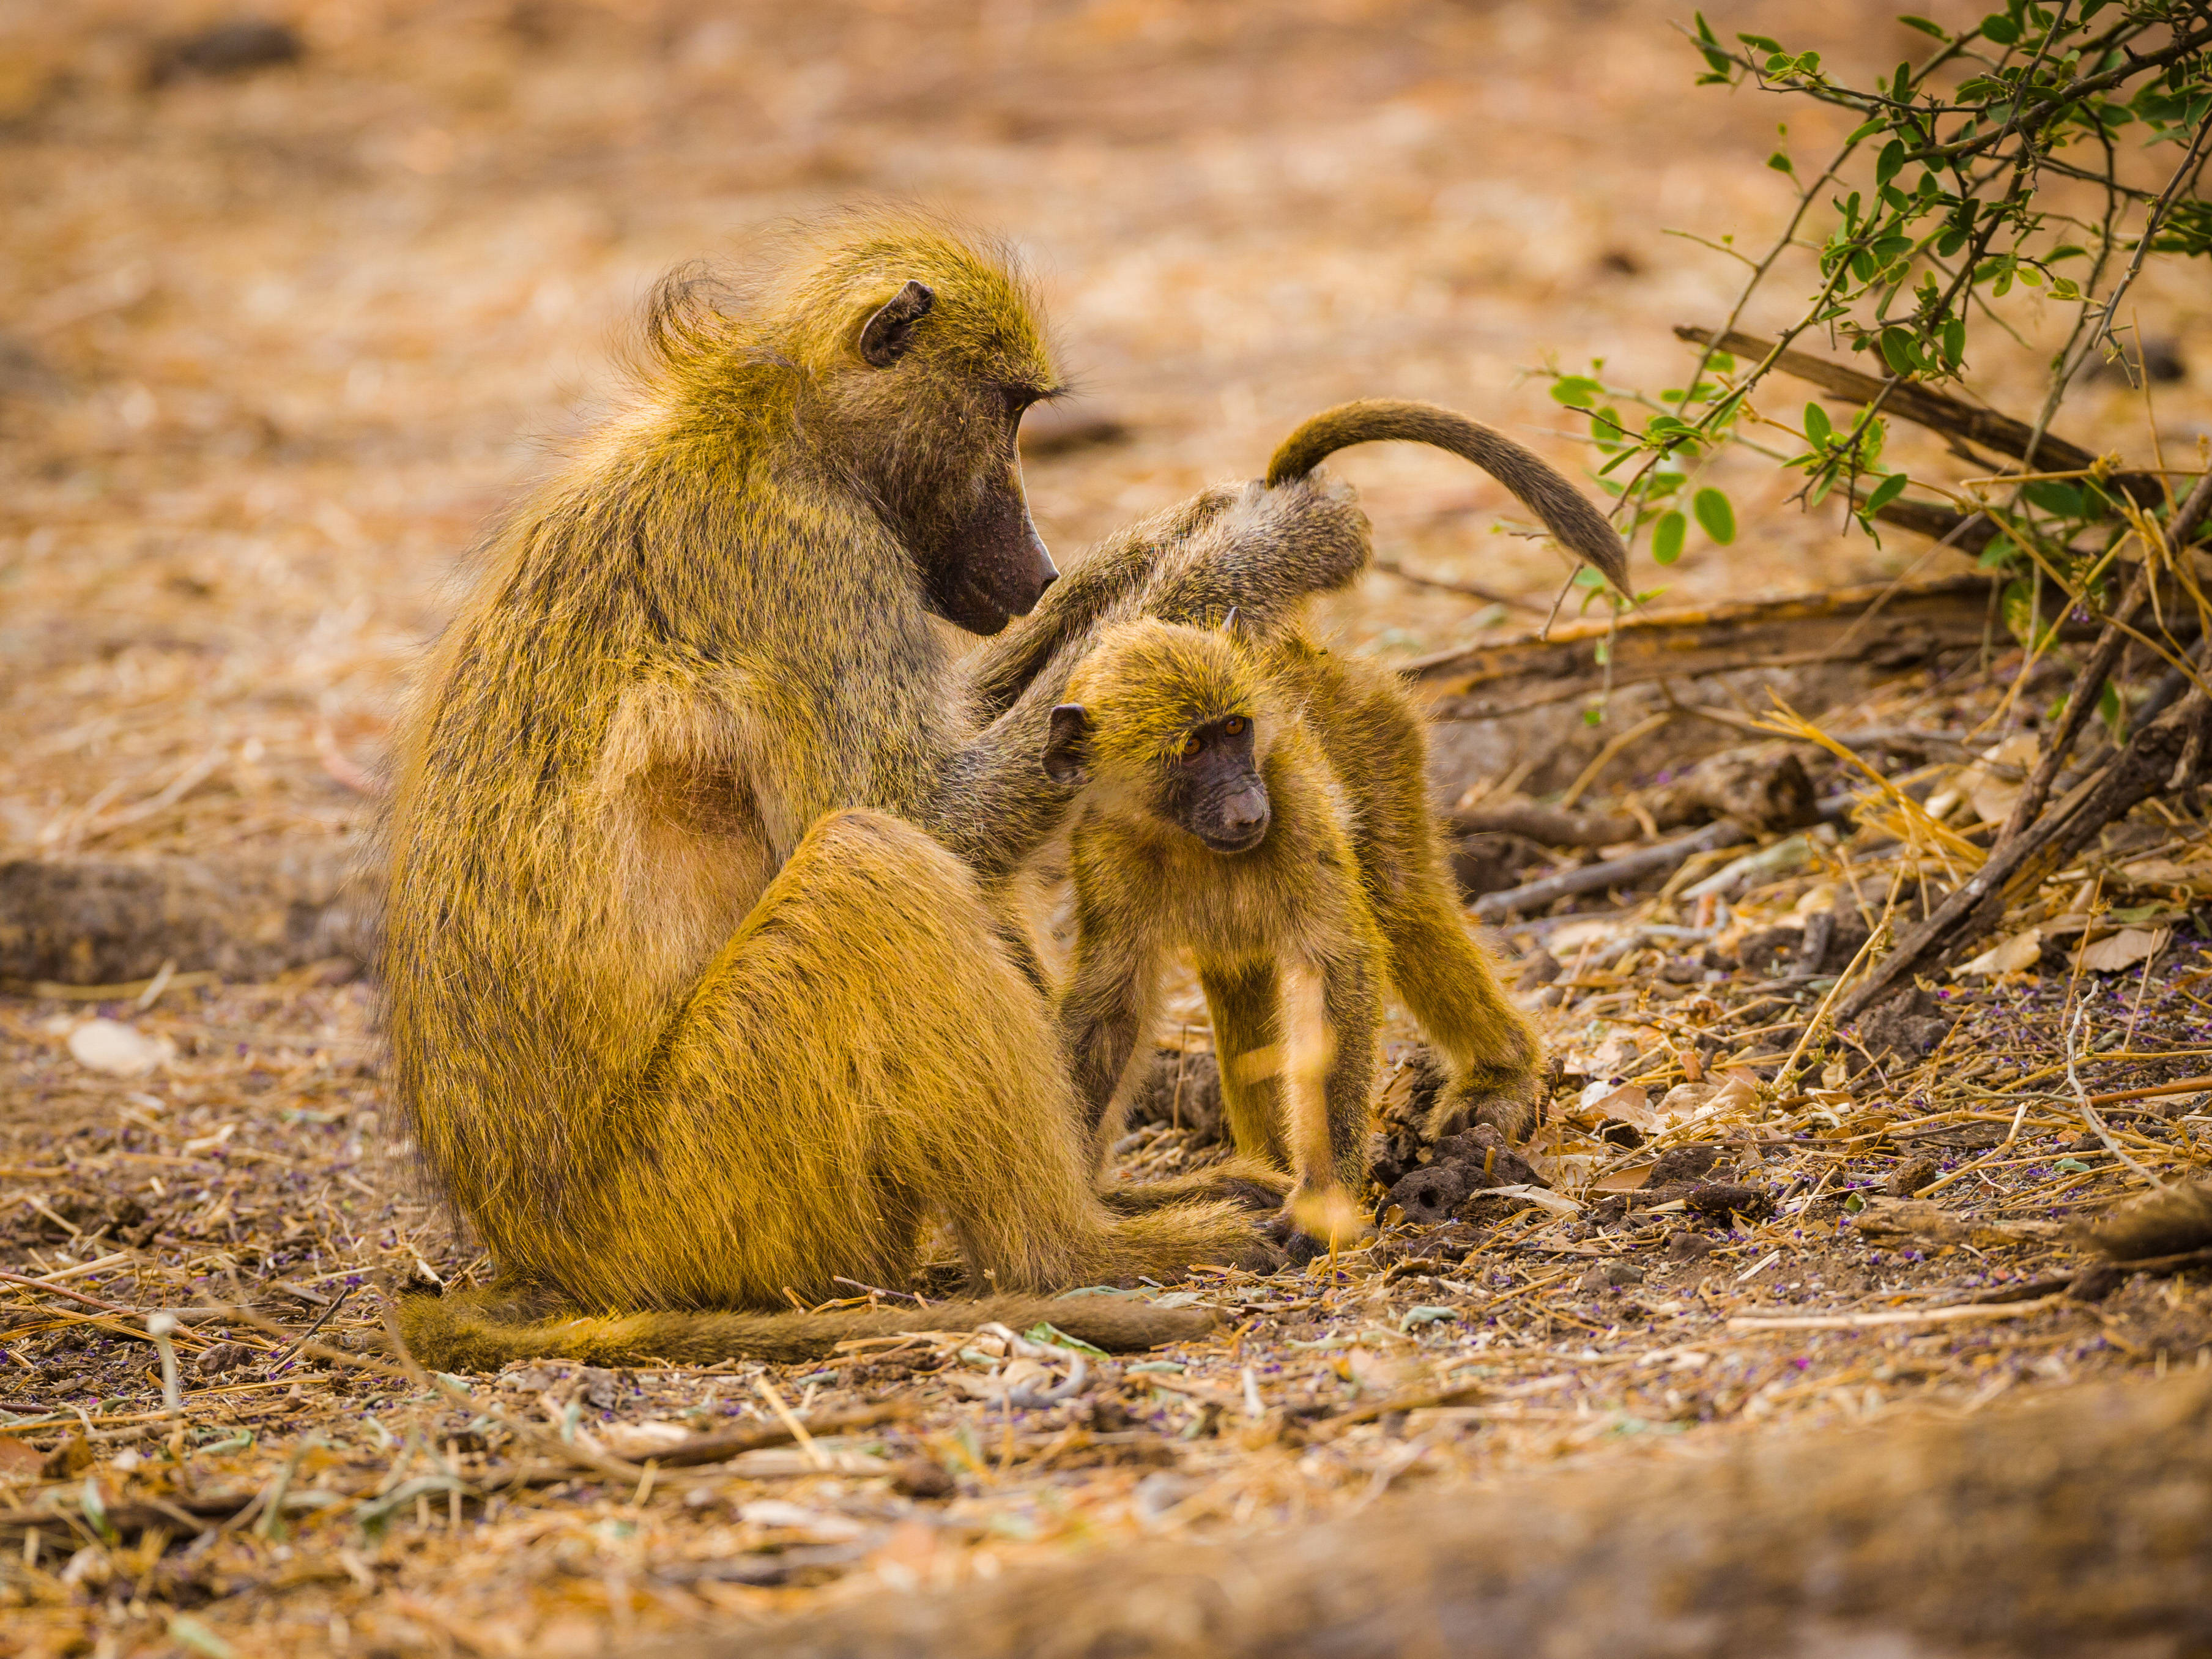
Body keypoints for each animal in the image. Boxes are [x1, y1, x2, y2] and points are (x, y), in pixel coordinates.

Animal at [377, 213, 1383, 1371]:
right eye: (1005, 410)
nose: (1037, 567)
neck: (780, 425)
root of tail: (546, 1257)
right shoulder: (812, 558)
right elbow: (921, 808)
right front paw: (1263, 547)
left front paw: (1161, 544)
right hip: (717, 1185)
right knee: (875, 860)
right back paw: (1083, 1248)